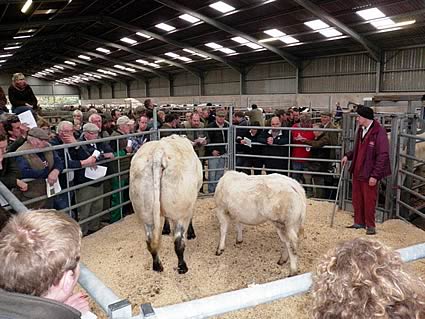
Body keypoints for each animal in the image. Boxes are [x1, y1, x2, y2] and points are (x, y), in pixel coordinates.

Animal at [129, 135, 202, 276]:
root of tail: (158, 153)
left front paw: (165, 229)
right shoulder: (192, 200)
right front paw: (191, 233)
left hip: (144, 211)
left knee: (150, 241)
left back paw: (157, 265)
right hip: (180, 211)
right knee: (178, 242)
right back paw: (182, 267)